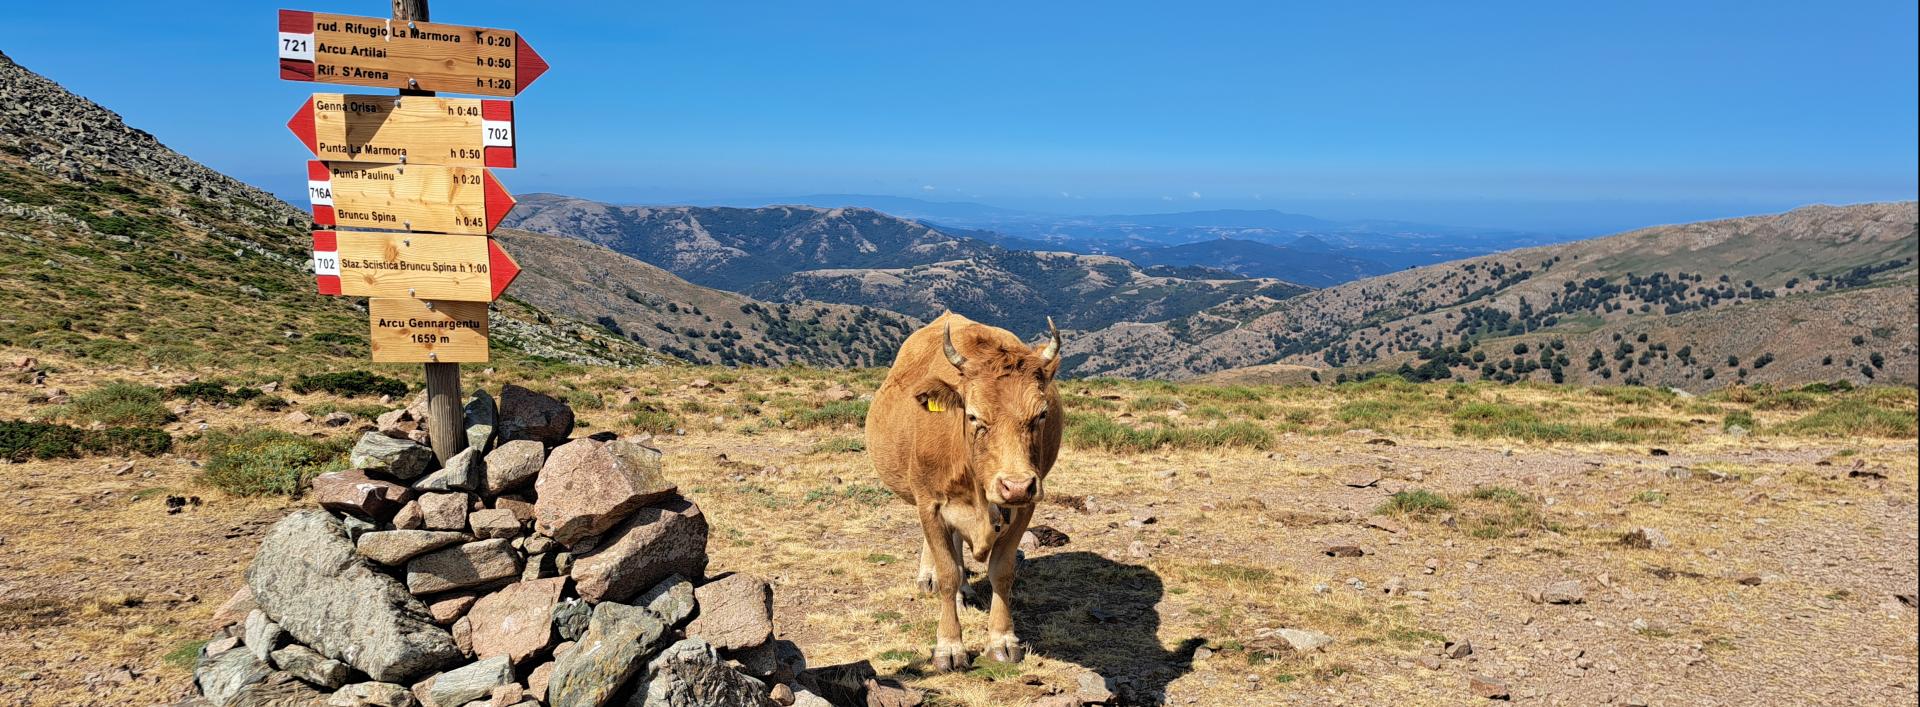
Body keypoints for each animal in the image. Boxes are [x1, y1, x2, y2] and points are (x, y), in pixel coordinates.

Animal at [871, 311, 1067, 672]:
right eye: (974, 416)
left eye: (1041, 414)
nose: (1016, 485)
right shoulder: (931, 505)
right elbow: (947, 572)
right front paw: (949, 646)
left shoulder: (1023, 508)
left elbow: (1002, 571)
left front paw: (1002, 640)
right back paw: (929, 579)